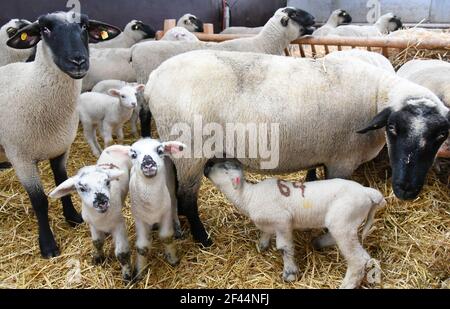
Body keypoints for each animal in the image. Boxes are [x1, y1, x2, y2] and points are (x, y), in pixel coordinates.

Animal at [50, 144, 134, 280]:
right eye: (81, 188)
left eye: (107, 182)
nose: (102, 201)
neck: (101, 217)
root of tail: (118, 145)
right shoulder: (92, 224)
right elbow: (97, 242)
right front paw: (98, 258)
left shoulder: (119, 225)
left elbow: (122, 254)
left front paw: (127, 275)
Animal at [126, 137, 185, 276]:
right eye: (133, 155)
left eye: (160, 151)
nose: (148, 163)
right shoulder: (139, 218)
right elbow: (142, 247)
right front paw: (140, 271)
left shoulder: (166, 213)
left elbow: (166, 237)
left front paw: (173, 259)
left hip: (171, 188)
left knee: (174, 205)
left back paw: (177, 228)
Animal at [132, 5, 314, 136]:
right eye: (294, 14)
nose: (313, 18)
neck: (263, 44)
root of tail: (135, 50)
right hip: (144, 84)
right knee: (144, 115)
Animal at [145, 48, 450, 245]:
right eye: (393, 128)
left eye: (441, 136)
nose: (407, 190)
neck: (376, 97)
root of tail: (151, 80)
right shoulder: (343, 160)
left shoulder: (324, 152)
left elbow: (312, 177)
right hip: (191, 151)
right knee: (186, 197)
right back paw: (203, 239)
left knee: (174, 190)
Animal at [204, 160, 384, 288]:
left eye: (224, 168)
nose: (207, 164)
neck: (248, 196)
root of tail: (367, 192)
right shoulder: (270, 223)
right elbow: (265, 233)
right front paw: (262, 245)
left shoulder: (283, 221)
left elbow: (284, 248)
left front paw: (290, 273)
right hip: (343, 223)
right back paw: (318, 242)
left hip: (343, 222)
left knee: (359, 259)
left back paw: (347, 284)